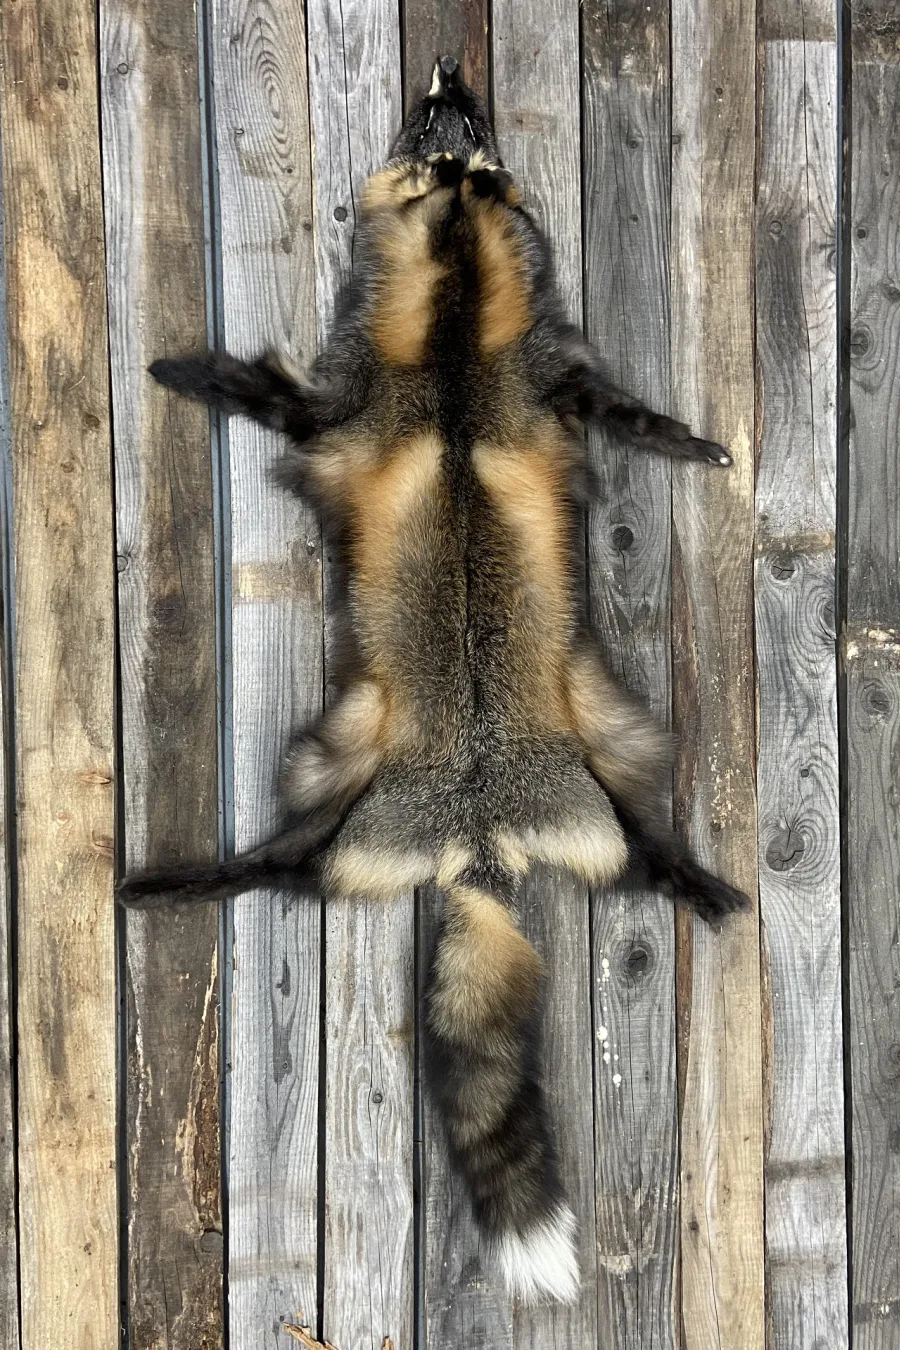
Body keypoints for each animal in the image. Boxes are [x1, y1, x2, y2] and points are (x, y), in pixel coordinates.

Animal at [120, 56, 747, 1304]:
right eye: (440, 141)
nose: (451, 76)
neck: (456, 352)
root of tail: (481, 846)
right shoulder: (478, 392)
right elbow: (620, 409)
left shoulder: (376, 400)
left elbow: (266, 394)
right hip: (493, 758)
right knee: (632, 859)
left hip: (389, 768)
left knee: (282, 873)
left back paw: (168, 888)